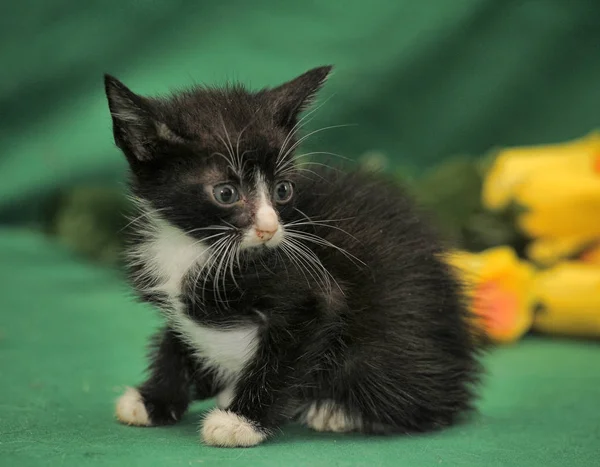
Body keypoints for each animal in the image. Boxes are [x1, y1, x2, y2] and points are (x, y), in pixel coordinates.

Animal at [104, 66, 482, 450]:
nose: (270, 228)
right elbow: (176, 340)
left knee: (422, 400)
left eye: (283, 189)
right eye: (226, 193)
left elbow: (283, 357)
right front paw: (153, 399)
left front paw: (242, 422)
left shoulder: (311, 292)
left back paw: (336, 411)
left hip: (389, 348)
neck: (196, 247)